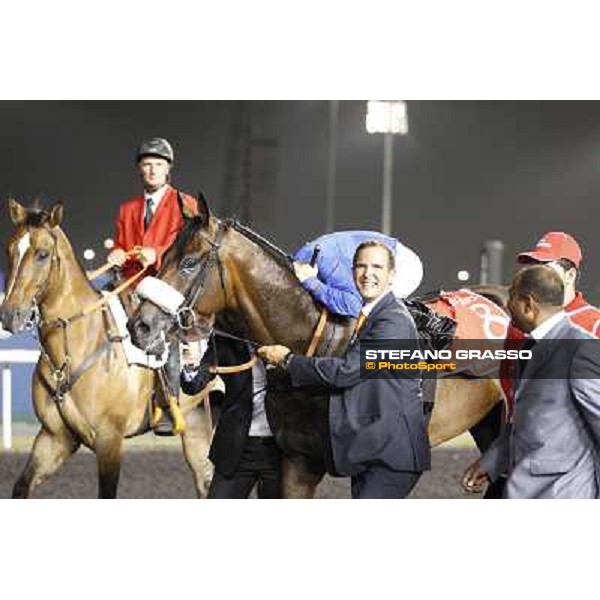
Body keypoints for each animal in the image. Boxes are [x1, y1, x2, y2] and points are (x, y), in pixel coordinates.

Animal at [0, 199, 216, 500]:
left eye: (42, 254)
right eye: (10, 250)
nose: (10, 315)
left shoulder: (109, 441)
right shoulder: (54, 438)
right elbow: (21, 487)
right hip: (196, 423)